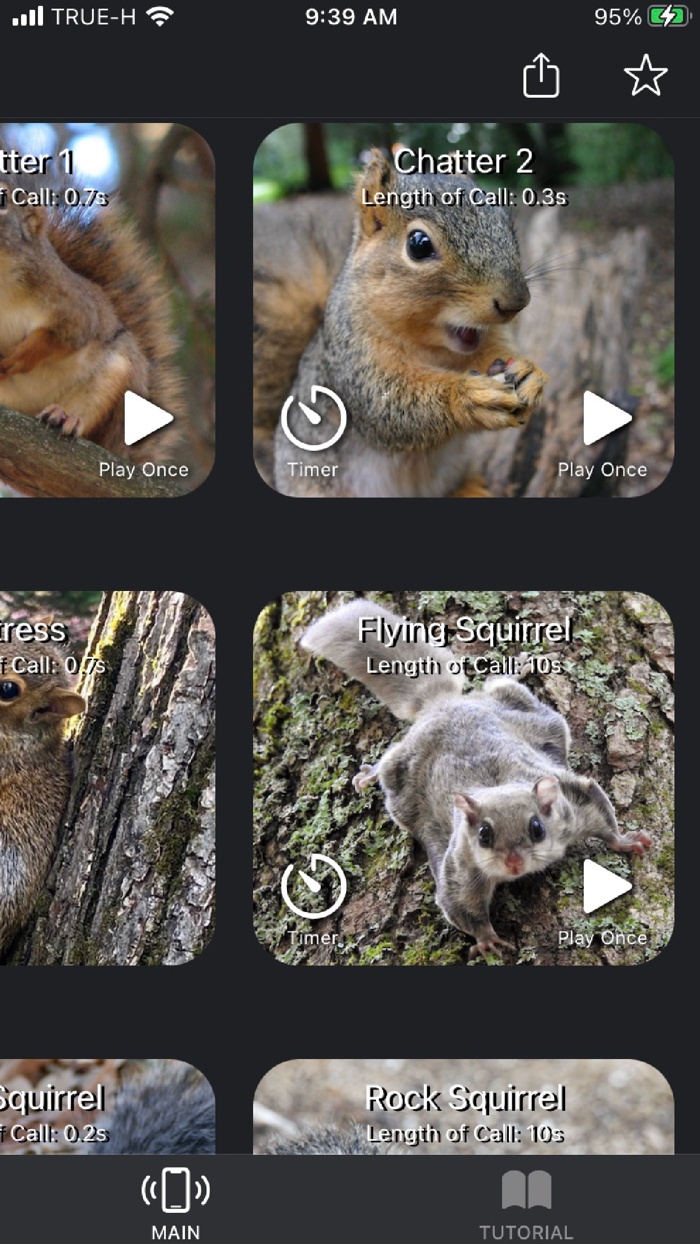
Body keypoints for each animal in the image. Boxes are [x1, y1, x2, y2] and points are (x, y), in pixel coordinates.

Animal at [0, 175, 182, 461]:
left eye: (3, 200)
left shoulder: (74, 306)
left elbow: (63, 338)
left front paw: (21, 356)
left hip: (115, 381)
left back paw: (65, 417)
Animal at [254, 149, 548, 497]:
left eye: (505, 221)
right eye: (419, 245)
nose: (516, 302)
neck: (432, 348)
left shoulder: (489, 338)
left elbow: (498, 353)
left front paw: (530, 373)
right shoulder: (353, 361)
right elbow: (389, 407)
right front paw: (466, 397)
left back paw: (469, 488)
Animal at [302, 601, 651, 960]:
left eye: (537, 828)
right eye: (483, 835)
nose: (514, 863)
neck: (498, 787)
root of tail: (441, 704)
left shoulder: (573, 803)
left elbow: (600, 814)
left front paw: (624, 841)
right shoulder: (461, 867)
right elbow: (461, 906)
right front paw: (487, 939)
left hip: (525, 710)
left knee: (499, 685)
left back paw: (518, 668)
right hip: (400, 773)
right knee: (390, 761)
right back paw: (369, 774)